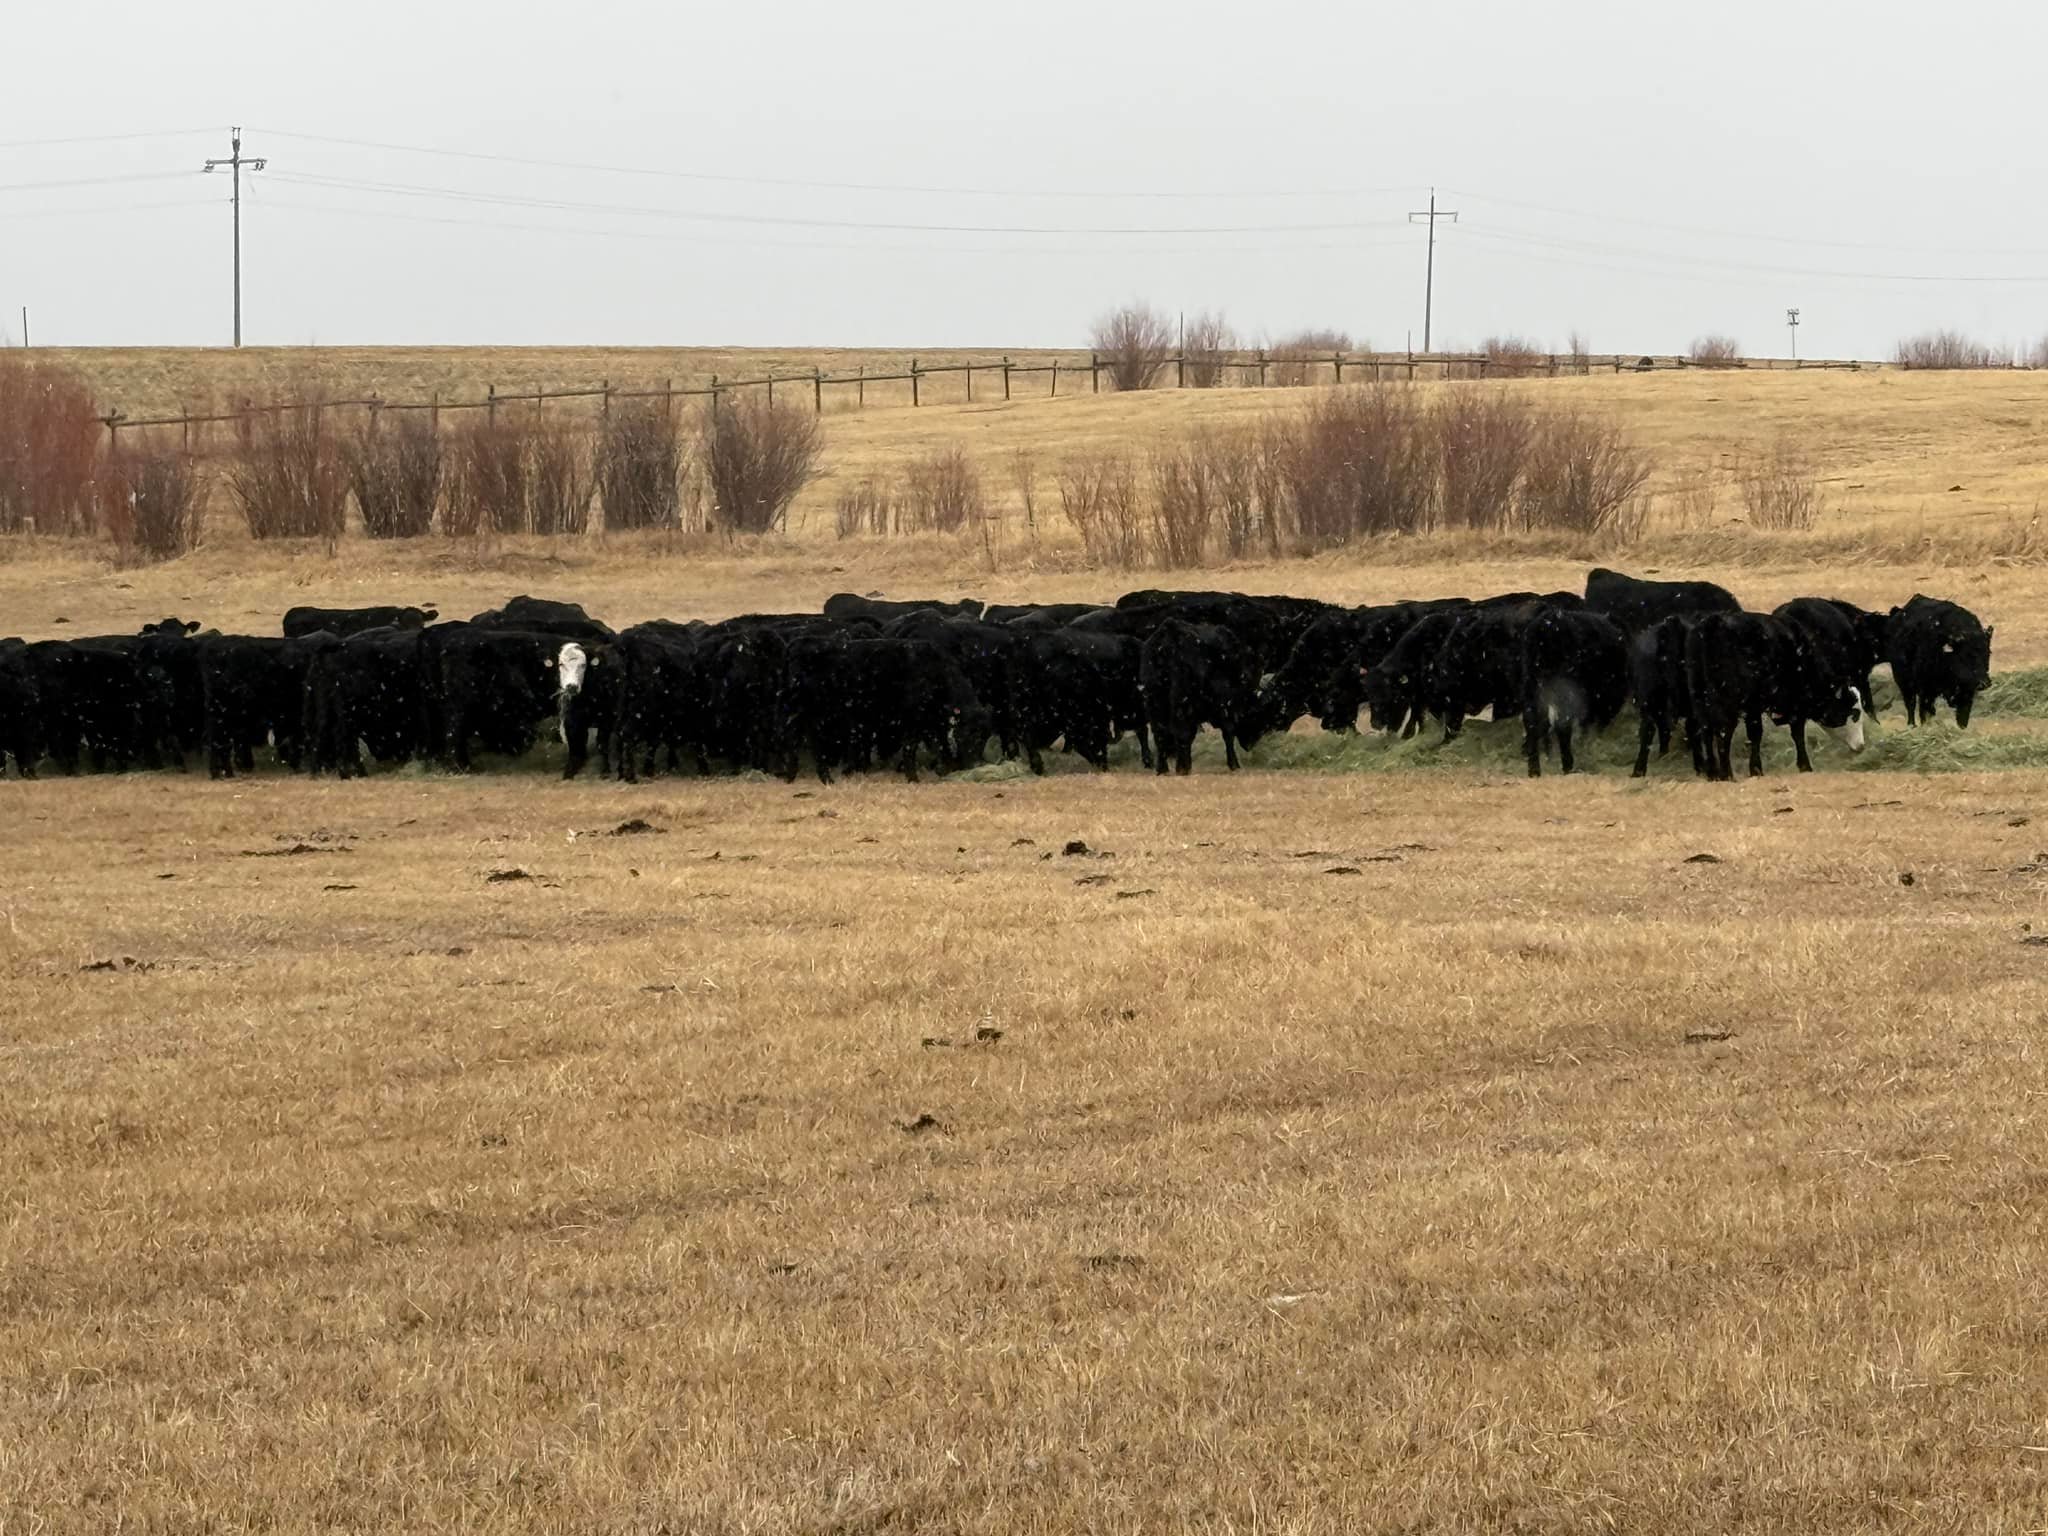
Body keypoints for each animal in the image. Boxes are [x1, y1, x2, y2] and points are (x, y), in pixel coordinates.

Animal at [1140, 618, 1263, 774]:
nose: (1249, 744)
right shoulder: (1225, 705)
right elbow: (1228, 732)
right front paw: (1234, 764)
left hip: (1154, 700)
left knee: (1160, 733)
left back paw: (1163, 769)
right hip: (1182, 701)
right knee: (1180, 731)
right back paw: (1183, 767)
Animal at [1521, 609, 1628, 777]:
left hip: (1532, 685)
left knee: (1531, 721)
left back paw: (1534, 770)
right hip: (1564, 686)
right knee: (1562, 723)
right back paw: (1567, 764)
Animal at [1887, 595, 1993, 728]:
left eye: (1987, 653)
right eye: (1966, 655)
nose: (1984, 683)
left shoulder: (1966, 695)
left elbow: (1962, 720)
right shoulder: (1926, 690)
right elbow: (1925, 714)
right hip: (1904, 682)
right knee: (1911, 705)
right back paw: (1912, 725)